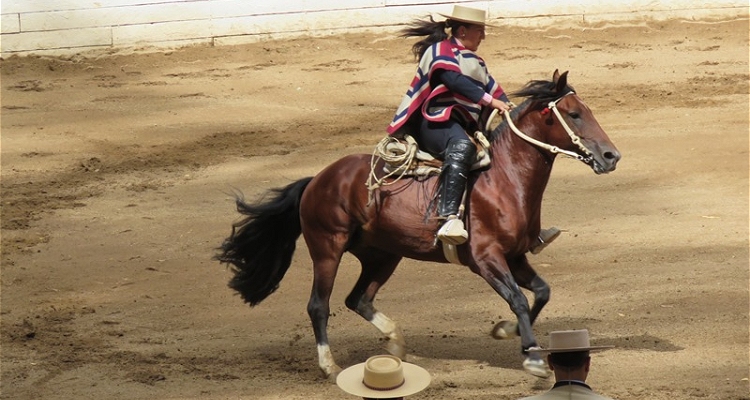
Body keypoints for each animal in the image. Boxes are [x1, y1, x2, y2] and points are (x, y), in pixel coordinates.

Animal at [216, 70, 624, 380]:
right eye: (573, 113)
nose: (611, 156)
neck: (503, 180)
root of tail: (318, 178)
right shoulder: (486, 259)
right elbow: (520, 300)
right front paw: (534, 356)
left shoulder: (516, 256)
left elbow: (541, 292)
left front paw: (505, 331)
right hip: (327, 248)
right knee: (320, 305)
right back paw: (329, 365)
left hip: (382, 255)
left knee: (358, 298)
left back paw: (395, 343)